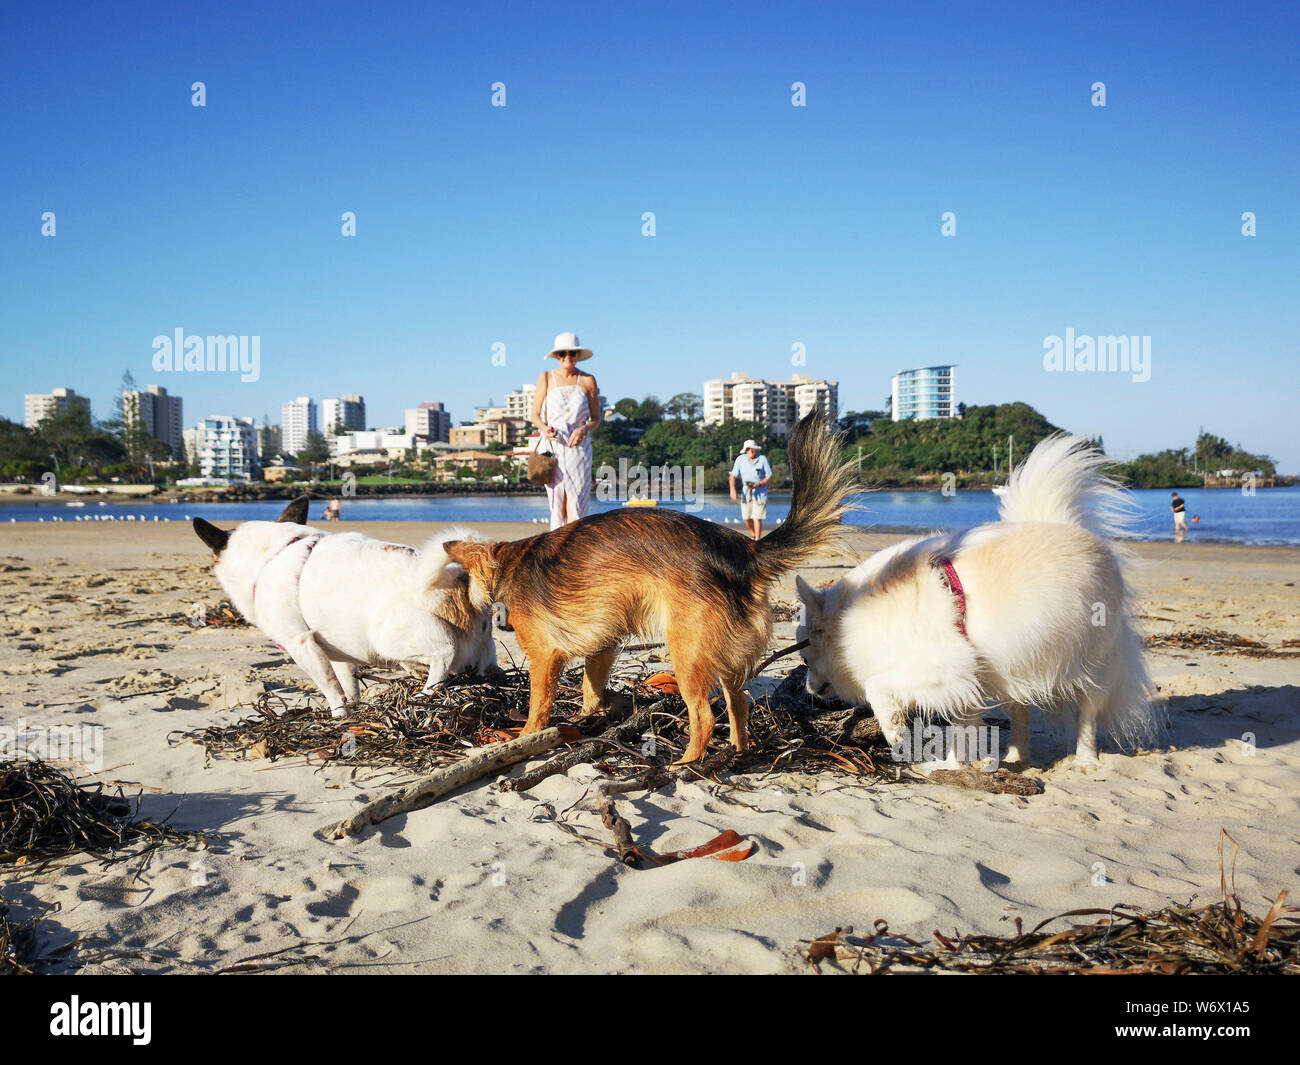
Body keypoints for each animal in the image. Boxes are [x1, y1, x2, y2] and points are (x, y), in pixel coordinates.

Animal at [192, 496, 496, 717]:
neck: (272, 556)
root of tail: (460, 579)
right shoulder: (338, 655)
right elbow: (347, 685)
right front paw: (353, 709)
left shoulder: (301, 644)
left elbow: (329, 688)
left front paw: (338, 716)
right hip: (482, 647)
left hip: (388, 637)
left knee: (443, 657)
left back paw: (425, 694)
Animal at [441, 410, 857, 764]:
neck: (510, 561)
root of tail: (743, 552)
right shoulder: (604, 646)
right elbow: (591, 687)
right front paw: (586, 715)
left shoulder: (544, 657)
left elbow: (538, 704)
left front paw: (526, 734)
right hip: (725, 658)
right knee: (738, 706)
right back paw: (737, 753)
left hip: (687, 654)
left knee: (704, 716)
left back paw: (686, 764)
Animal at [795, 434, 1154, 764]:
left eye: (806, 659)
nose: (807, 688)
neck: (855, 617)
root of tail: (1077, 530)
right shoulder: (964, 680)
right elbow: (962, 730)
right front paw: (954, 766)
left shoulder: (941, 667)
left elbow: (877, 685)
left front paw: (895, 730)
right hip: (1018, 666)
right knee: (1021, 713)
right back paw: (1015, 758)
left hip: (1094, 665)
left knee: (1089, 713)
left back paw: (1085, 760)